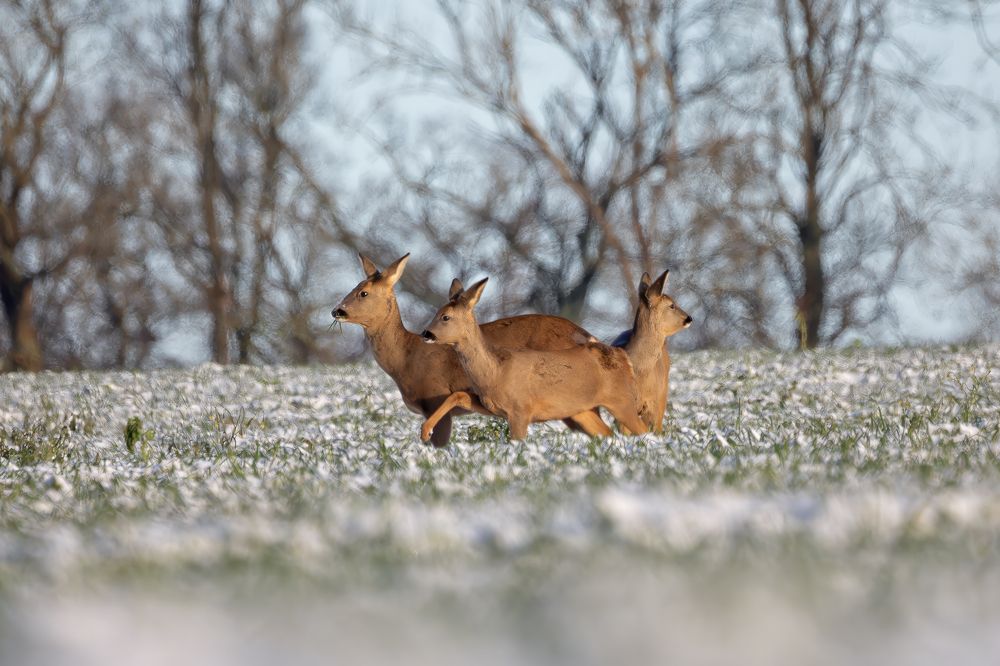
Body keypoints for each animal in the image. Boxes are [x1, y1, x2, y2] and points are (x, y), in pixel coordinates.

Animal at [331, 253, 612, 447]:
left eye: (363, 293)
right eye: (354, 288)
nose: (337, 311)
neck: (406, 359)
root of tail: (589, 336)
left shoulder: (435, 401)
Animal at [420, 278, 649, 441]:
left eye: (445, 317)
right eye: (437, 312)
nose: (426, 333)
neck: (496, 371)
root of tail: (623, 356)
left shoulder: (521, 410)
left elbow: (516, 441)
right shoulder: (492, 406)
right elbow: (457, 395)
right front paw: (425, 432)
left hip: (622, 399)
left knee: (644, 430)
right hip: (581, 410)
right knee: (607, 434)